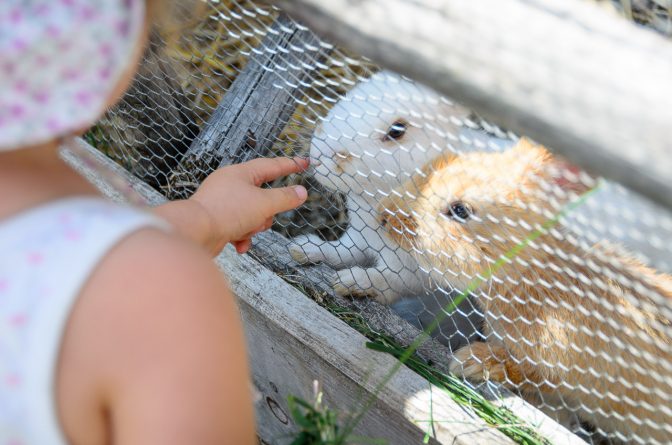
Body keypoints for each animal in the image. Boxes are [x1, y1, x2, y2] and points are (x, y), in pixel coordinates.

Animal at [288, 70, 472, 306]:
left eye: (397, 130)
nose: (318, 155)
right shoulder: (359, 239)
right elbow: (340, 252)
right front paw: (304, 248)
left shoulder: (409, 272)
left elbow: (384, 280)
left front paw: (349, 281)